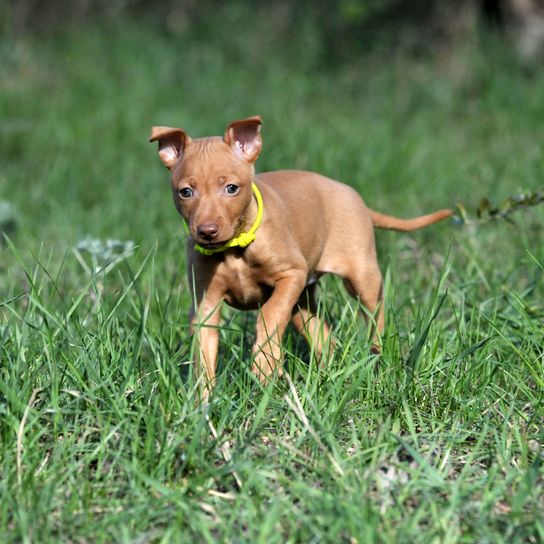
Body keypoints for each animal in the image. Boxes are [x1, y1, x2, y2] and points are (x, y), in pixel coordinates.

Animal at [149, 117, 450, 400]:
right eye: (186, 192)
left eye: (232, 188)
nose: (207, 231)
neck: (235, 249)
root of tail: (353, 195)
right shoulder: (206, 303)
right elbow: (203, 351)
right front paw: (202, 403)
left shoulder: (291, 274)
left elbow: (270, 313)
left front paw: (265, 363)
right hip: (302, 303)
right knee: (323, 337)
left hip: (361, 278)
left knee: (375, 317)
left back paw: (378, 358)